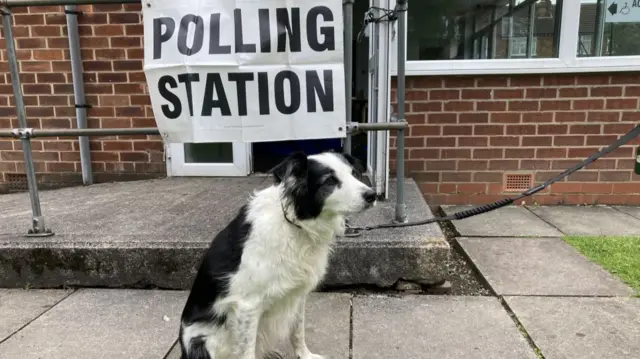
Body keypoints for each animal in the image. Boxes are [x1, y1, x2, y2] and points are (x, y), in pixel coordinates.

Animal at [179, 152, 376, 359]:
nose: (372, 195)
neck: (294, 224)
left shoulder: (297, 293)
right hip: (200, 340)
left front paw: (304, 355)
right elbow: (247, 352)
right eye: (329, 180)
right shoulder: (247, 306)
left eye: (353, 173)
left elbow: (298, 331)